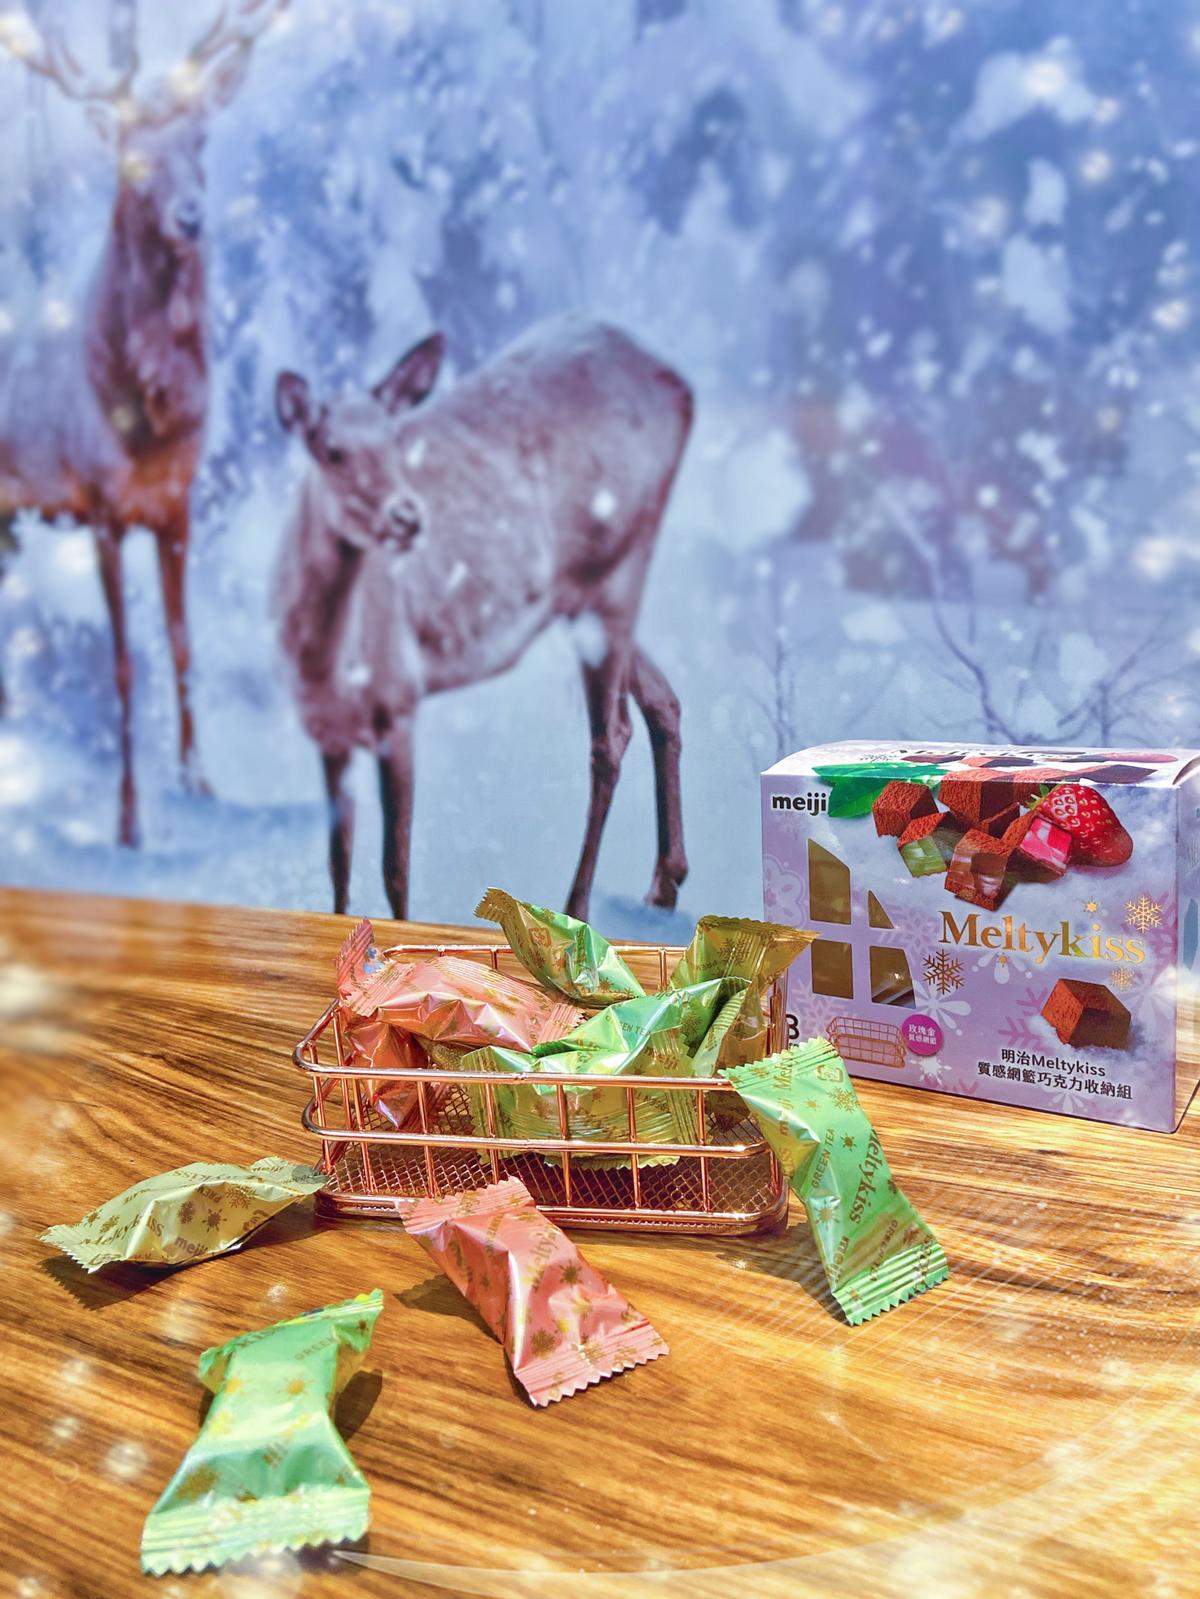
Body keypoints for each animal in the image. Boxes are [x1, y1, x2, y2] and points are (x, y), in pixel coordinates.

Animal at [0, 0, 288, 846]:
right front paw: (128, 818)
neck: (144, 420)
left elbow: (184, 645)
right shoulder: (98, 507)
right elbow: (124, 662)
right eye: (134, 160)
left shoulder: (177, 505)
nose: (190, 215)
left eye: (200, 142)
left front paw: (202, 785)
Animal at [274, 316, 693, 923]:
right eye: (331, 451)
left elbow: (395, 866)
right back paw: (665, 882)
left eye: (396, 443)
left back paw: (577, 906)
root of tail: (681, 386)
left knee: (611, 734)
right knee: (663, 698)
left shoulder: (399, 703)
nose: (407, 516)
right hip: (587, 593)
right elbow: (339, 861)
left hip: (617, 575)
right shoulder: (328, 730)